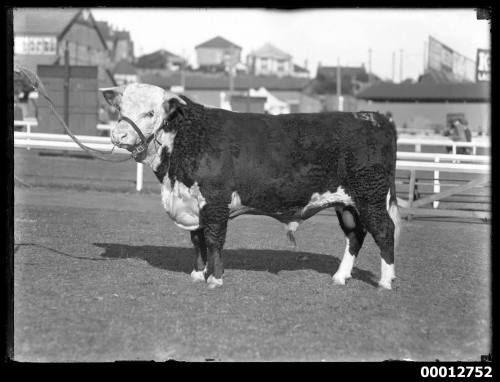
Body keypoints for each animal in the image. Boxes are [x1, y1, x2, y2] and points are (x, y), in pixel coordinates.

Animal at [101, 84, 402, 290]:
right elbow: (197, 240)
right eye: (121, 110)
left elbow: (214, 240)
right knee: (355, 234)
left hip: (370, 196)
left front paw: (215, 279)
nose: (119, 135)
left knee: (384, 230)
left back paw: (386, 281)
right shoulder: (193, 203)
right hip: (347, 203)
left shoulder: (215, 201)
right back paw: (340, 276)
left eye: (150, 112)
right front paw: (198, 274)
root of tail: (374, 117)